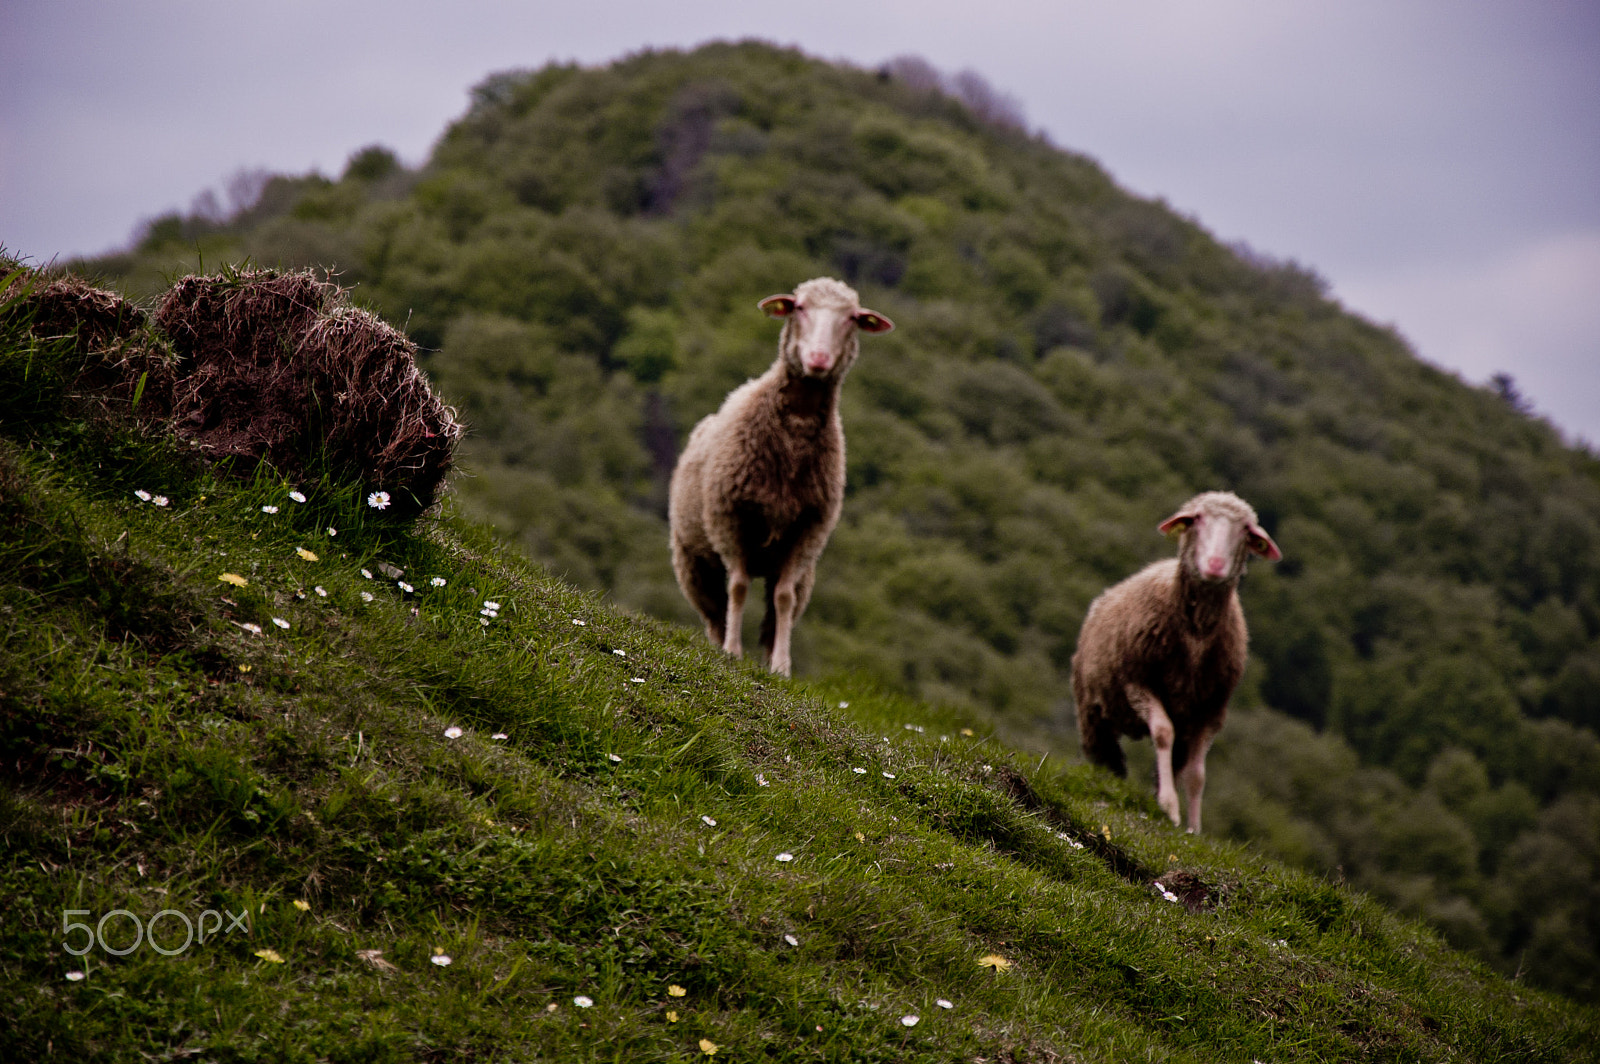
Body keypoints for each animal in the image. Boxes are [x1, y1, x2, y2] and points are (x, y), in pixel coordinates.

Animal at [668, 277, 893, 676]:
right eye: (799, 307)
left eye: (852, 318)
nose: (818, 359)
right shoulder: (730, 520)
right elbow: (738, 587)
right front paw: (733, 651)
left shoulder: (806, 532)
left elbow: (784, 598)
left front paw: (782, 668)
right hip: (692, 559)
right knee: (714, 611)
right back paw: (719, 644)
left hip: (801, 570)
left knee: (774, 614)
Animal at [1070, 491, 1281, 832]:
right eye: (1197, 520)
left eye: (1245, 531)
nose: (1215, 565)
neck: (1196, 633)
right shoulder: (1138, 682)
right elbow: (1161, 733)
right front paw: (1169, 807)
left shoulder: (1211, 709)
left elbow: (1197, 774)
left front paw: (1194, 828)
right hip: (1093, 708)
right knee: (1103, 751)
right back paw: (1110, 778)